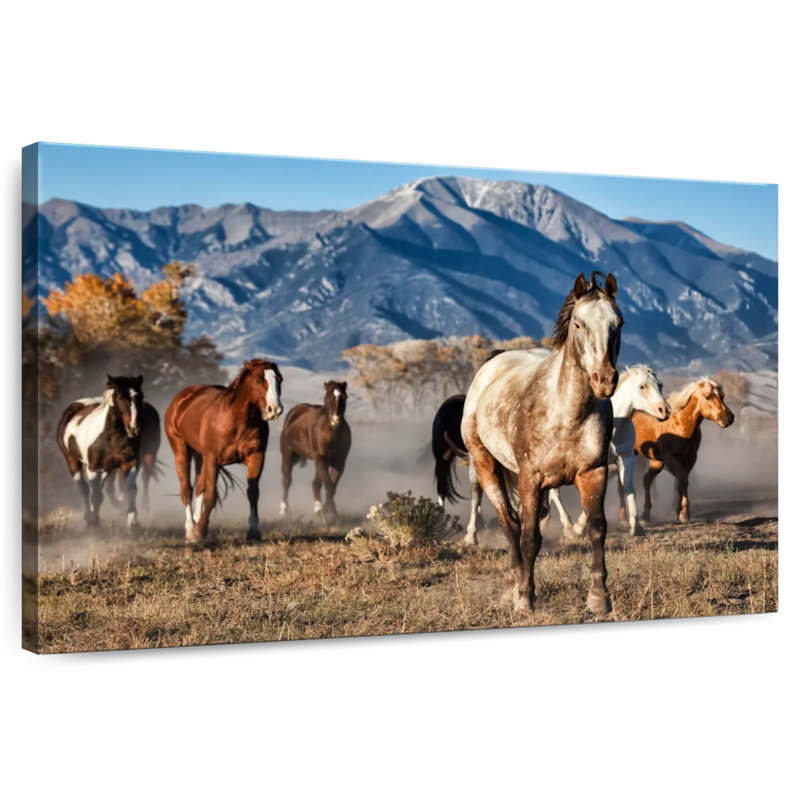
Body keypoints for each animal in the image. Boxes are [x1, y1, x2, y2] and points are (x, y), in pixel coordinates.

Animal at [56, 375, 144, 527]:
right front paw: (93, 524)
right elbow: (95, 495)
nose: (134, 428)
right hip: (73, 461)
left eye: (141, 396)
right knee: (84, 489)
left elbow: (131, 490)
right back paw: (88, 516)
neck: (110, 437)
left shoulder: (130, 463)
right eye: (120, 397)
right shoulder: (94, 468)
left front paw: (132, 522)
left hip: (106, 469)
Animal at [164, 359, 284, 543]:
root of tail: (181, 400)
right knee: (186, 490)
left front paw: (254, 531)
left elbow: (253, 493)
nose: (274, 410)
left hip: (201, 456)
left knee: (199, 487)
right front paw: (201, 530)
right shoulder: (213, 459)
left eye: (279, 380)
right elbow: (211, 495)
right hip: (182, 451)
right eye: (258, 380)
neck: (237, 421)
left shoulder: (256, 457)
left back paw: (196, 523)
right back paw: (191, 531)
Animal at [280, 380, 351, 524]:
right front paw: (328, 512)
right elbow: (329, 486)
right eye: (327, 397)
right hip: (288, 454)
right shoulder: (320, 458)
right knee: (287, 480)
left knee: (316, 484)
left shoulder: (339, 462)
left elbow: (332, 486)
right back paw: (283, 511)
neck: (332, 433)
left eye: (344, 397)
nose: (335, 421)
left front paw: (327, 511)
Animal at [461, 272, 623, 613]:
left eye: (619, 322)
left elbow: (596, 529)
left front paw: (598, 598)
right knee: (509, 522)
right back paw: (515, 582)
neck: (566, 413)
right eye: (579, 324)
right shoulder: (530, 479)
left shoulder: (594, 473)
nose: (605, 379)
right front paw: (525, 597)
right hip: (485, 466)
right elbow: (529, 537)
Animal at [634, 377, 734, 524]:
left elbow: (682, 482)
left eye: (722, 396)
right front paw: (684, 513)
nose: (728, 418)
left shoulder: (690, 458)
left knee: (646, 480)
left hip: (656, 462)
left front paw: (679, 511)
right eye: (708, 396)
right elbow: (683, 481)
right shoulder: (672, 458)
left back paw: (645, 515)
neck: (680, 424)